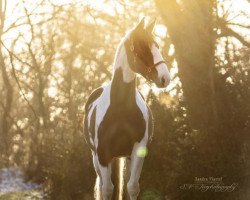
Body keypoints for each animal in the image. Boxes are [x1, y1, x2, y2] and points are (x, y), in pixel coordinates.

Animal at [83, 17, 170, 200]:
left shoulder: (138, 151)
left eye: (157, 46)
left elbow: (132, 187)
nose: (165, 78)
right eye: (141, 47)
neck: (120, 108)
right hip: (97, 158)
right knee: (103, 186)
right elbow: (107, 189)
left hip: (126, 157)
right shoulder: (103, 153)